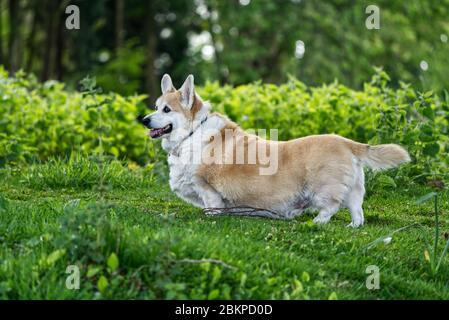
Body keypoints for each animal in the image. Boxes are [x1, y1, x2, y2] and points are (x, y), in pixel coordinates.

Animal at [143, 74, 410, 228]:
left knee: (330, 207)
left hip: (323, 189)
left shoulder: (208, 189)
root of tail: (346, 142)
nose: (144, 120)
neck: (192, 132)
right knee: (358, 212)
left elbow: (213, 207)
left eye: (166, 110)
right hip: (355, 190)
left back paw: (316, 222)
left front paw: (211, 218)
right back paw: (352, 227)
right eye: (155, 106)